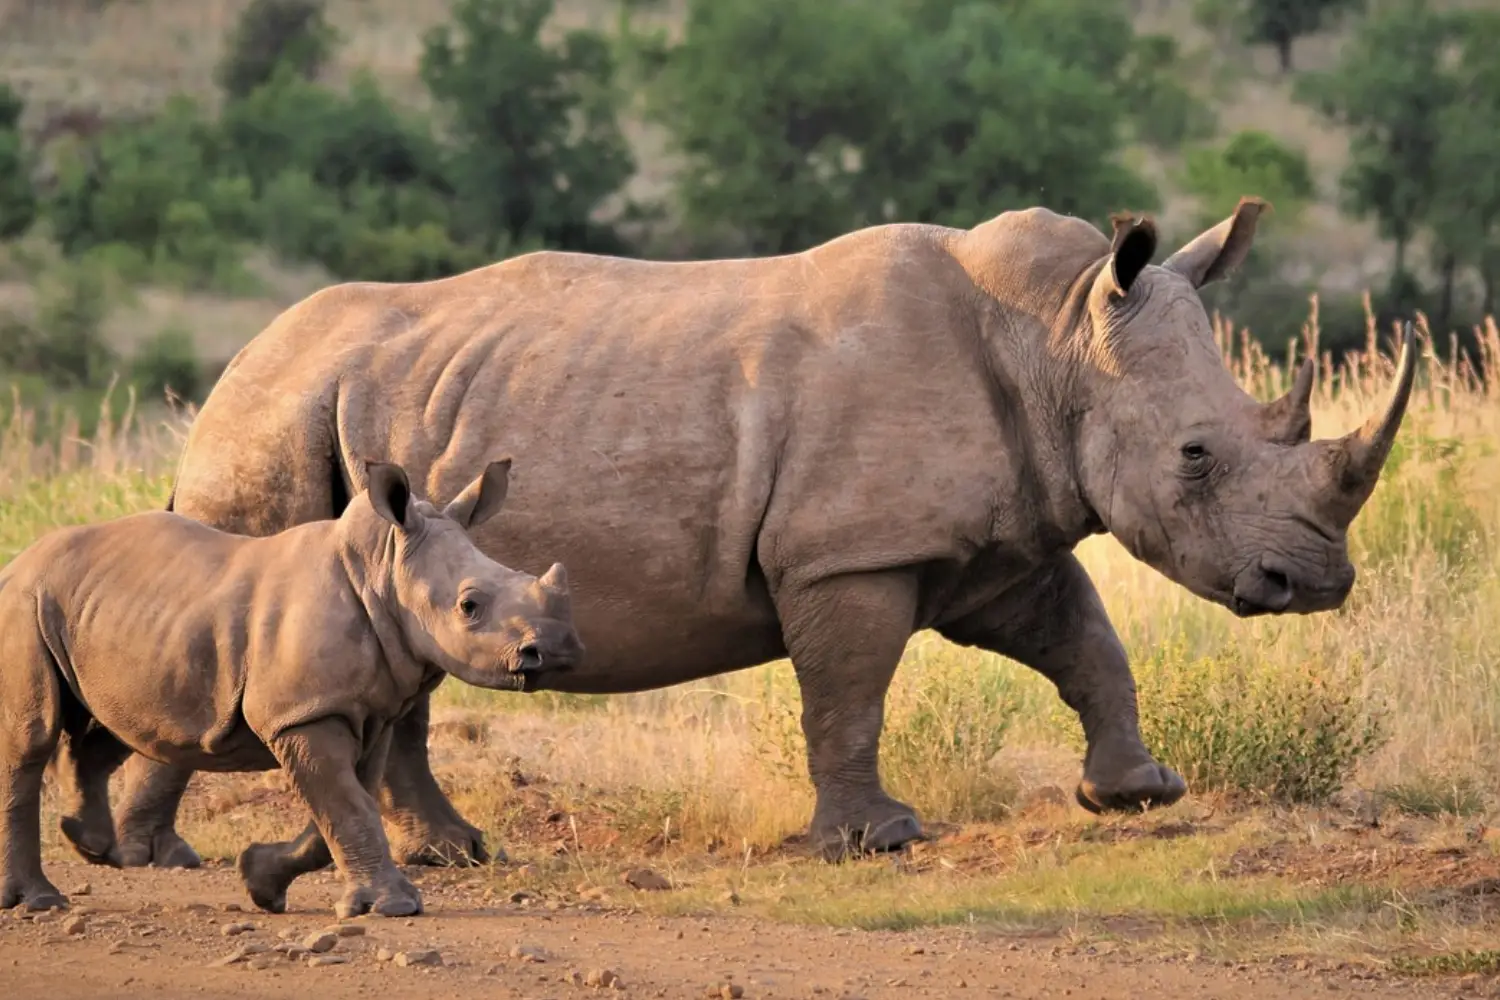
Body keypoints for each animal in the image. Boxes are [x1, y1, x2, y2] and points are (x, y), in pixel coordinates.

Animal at [0, 459, 582, 916]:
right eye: (469, 606)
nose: (557, 649)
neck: (382, 569)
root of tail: (19, 560)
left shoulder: (367, 711)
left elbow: (343, 807)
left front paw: (259, 880)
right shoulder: (303, 713)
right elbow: (348, 805)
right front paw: (395, 907)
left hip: (113, 615)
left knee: (116, 723)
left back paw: (90, 844)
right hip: (26, 600)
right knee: (34, 737)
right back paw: (39, 901)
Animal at [101, 196, 1414, 872]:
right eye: (1196, 456)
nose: (1316, 579)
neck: (1055, 338)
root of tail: (235, 362)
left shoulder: (998, 541)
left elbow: (1085, 640)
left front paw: (1136, 794)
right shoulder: (850, 551)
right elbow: (850, 690)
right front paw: (875, 842)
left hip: (365, 421)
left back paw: (456, 856)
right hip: (272, 422)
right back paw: (152, 858)